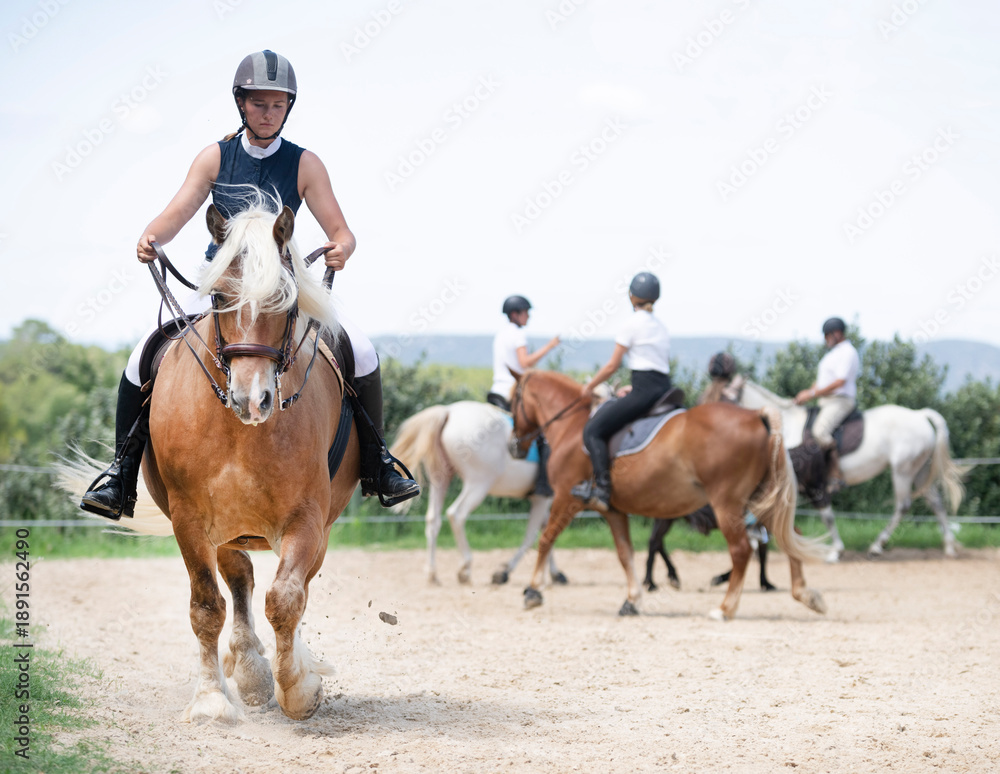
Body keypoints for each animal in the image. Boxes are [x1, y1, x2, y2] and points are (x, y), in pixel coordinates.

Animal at [61, 199, 357, 722]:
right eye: (219, 297)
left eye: (284, 301)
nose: (251, 400)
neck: (240, 432)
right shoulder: (190, 518)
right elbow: (206, 606)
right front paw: (212, 701)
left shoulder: (307, 518)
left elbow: (286, 599)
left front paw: (299, 689)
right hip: (227, 528)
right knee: (239, 577)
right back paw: (250, 668)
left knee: (293, 587)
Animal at [389, 401, 566, 586]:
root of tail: (449, 411)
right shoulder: (543, 498)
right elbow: (535, 536)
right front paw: (504, 572)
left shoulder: (541, 499)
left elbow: (547, 531)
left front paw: (554, 573)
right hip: (479, 483)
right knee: (457, 514)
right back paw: (465, 568)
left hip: (441, 479)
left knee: (433, 520)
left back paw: (432, 574)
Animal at [509, 370, 828, 620]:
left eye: (512, 400)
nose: (514, 447)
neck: (572, 427)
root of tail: (755, 415)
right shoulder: (613, 510)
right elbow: (625, 553)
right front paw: (632, 600)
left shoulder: (566, 498)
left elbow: (546, 539)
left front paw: (532, 592)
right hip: (758, 500)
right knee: (789, 536)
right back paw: (806, 595)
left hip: (728, 504)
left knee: (741, 550)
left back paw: (725, 608)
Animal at [720, 378, 965, 560]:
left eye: (723, 398)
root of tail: (919, 415)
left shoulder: (812, 484)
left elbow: (826, 515)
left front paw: (835, 551)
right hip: (920, 471)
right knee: (936, 502)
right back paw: (949, 547)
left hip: (903, 471)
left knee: (903, 505)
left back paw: (877, 546)